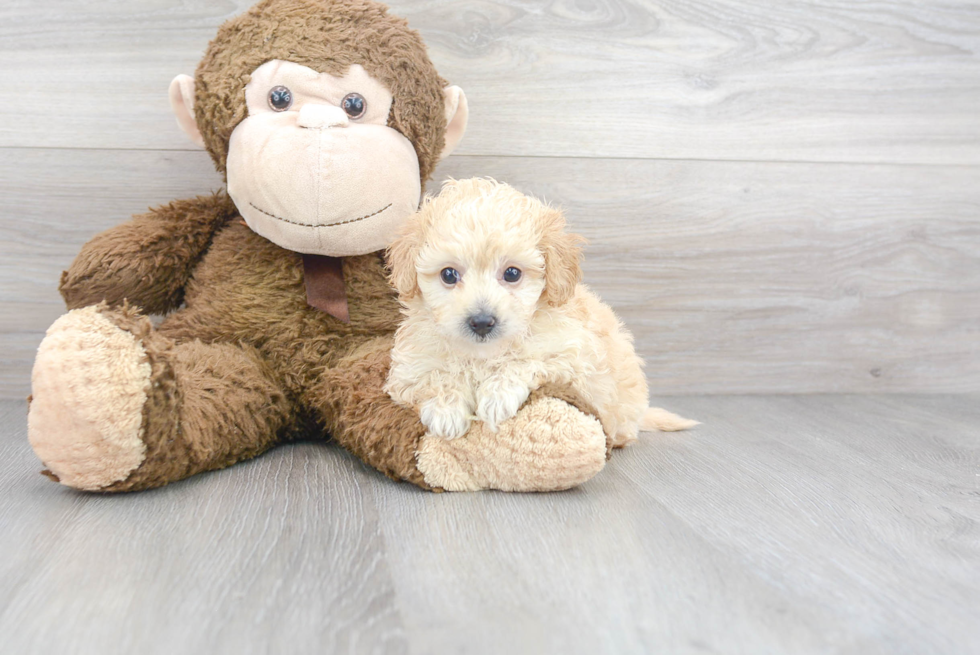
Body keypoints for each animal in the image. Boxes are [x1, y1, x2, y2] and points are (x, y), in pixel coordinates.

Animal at [384, 179, 696, 446]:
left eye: (512, 273)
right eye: (448, 275)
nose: (482, 322)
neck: (483, 356)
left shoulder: (576, 357)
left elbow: (526, 361)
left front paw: (497, 394)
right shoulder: (409, 369)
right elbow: (433, 377)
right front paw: (446, 410)